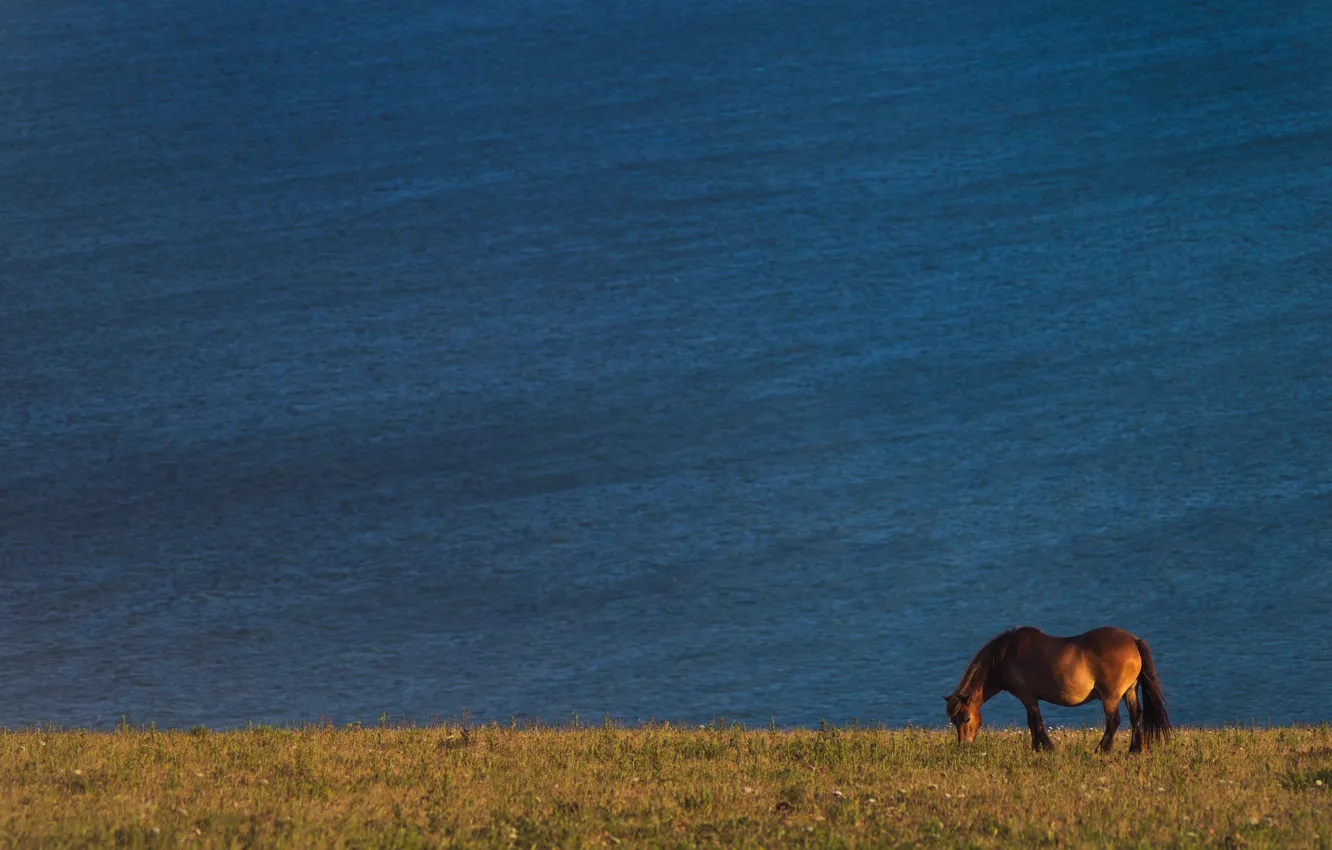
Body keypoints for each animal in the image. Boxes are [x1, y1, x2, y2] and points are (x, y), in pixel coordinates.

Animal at [943, 626, 1170, 752]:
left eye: (966, 718)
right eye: (953, 721)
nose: (964, 746)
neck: (1004, 655)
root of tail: (1132, 640)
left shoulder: (1027, 696)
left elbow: (1036, 722)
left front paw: (1047, 748)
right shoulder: (1028, 698)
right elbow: (1032, 722)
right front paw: (1036, 748)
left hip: (1111, 696)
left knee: (1113, 721)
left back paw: (1101, 750)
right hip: (1129, 691)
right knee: (1136, 716)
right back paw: (1135, 749)